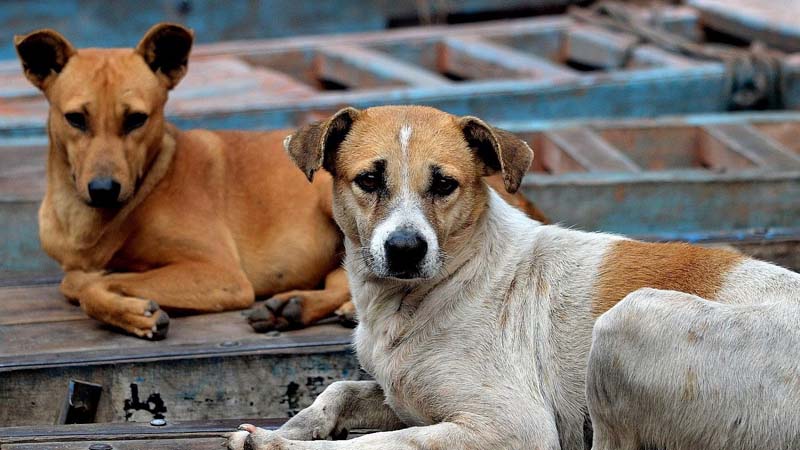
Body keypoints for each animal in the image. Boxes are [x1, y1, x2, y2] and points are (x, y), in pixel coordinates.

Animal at [15, 22, 548, 340]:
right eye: (76, 119)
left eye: (136, 119)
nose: (103, 190)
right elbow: (78, 277)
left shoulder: (220, 275)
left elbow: (84, 282)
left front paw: (132, 309)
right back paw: (295, 305)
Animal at [225, 106, 800, 450]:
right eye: (369, 180)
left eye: (445, 184)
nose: (406, 250)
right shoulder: (406, 398)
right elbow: (339, 390)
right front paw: (289, 427)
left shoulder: (512, 425)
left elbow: (379, 445)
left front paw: (279, 443)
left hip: (628, 321)